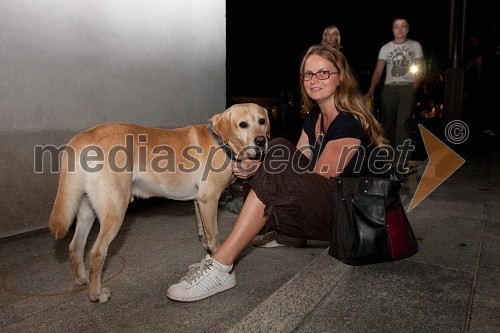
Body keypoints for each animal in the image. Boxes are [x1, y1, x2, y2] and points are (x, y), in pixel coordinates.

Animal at [49, 103, 270, 300]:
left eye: (262, 121)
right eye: (243, 124)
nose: (261, 140)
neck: (220, 141)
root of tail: (84, 136)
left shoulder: (199, 201)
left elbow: (203, 233)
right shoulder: (210, 199)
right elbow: (214, 237)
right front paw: (219, 263)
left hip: (87, 210)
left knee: (75, 247)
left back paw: (82, 279)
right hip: (115, 210)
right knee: (96, 254)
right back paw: (97, 295)